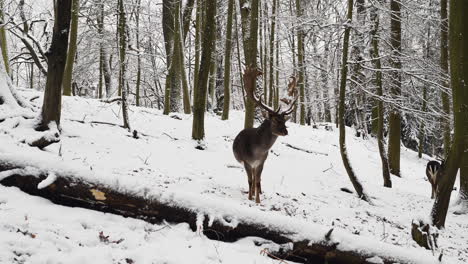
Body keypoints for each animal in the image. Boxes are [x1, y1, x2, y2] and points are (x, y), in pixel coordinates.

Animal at [233, 67, 298, 203]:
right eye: (274, 120)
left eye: (284, 121)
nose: (285, 132)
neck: (257, 152)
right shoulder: (246, 161)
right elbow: (250, 180)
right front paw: (250, 198)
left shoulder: (262, 162)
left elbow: (257, 181)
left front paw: (258, 201)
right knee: (251, 178)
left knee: (256, 179)